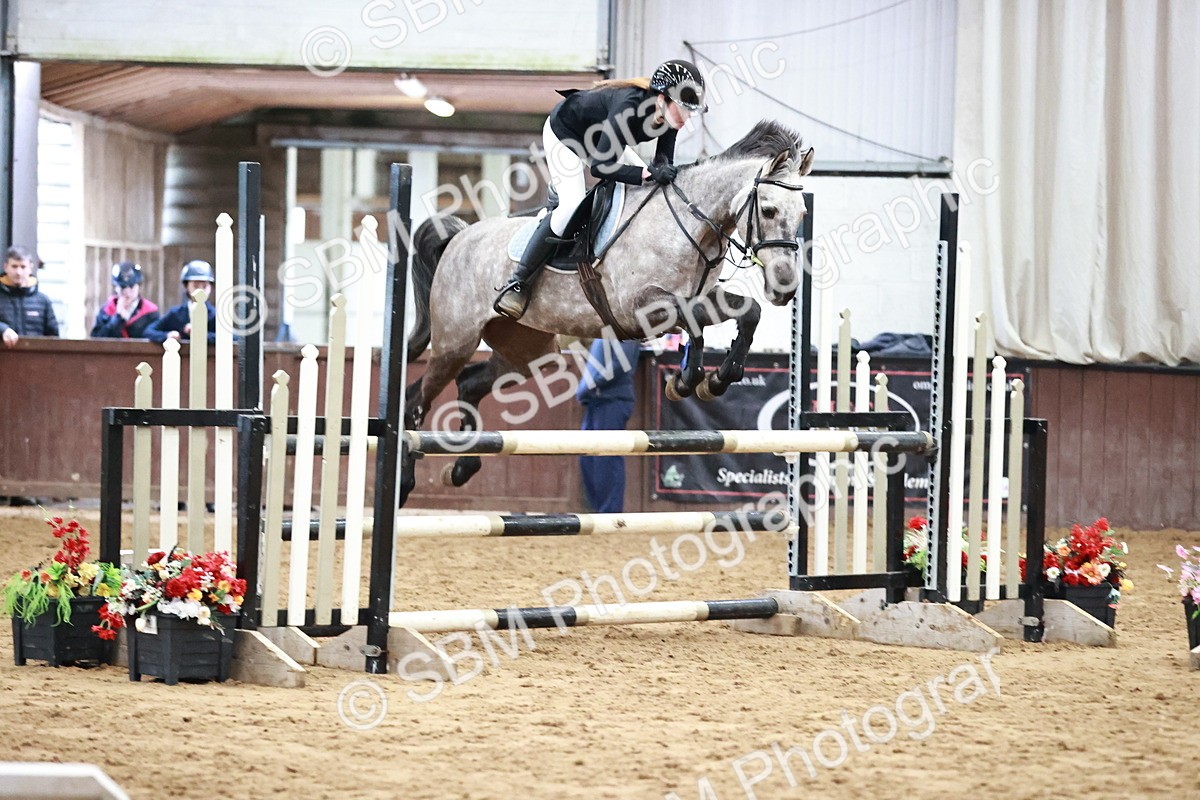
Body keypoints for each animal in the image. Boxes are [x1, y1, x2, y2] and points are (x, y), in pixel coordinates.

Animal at [401, 119, 815, 495]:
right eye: (769, 209)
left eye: (803, 216)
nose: (784, 286)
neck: (689, 226)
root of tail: (459, 237)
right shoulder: (642, 307)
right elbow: (696, 324)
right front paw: (690, 380)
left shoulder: (694, 300)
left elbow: (746, 313)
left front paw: (710, 381)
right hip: (456, 342)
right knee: (417, 399)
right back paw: (406, 481)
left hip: (529, 350)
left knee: (470, 383)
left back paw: (462, 468)